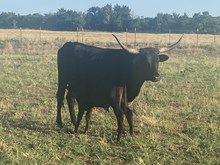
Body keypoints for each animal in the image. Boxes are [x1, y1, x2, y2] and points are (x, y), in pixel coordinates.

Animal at [55, 34, 183, 140]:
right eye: (144, 61)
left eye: (157, 60)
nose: (156, 77)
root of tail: (68, 44)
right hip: (63, 78)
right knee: (60, 96)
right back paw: (59, 122)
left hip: (74, 84)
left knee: (70, 98)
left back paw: (73, 121)